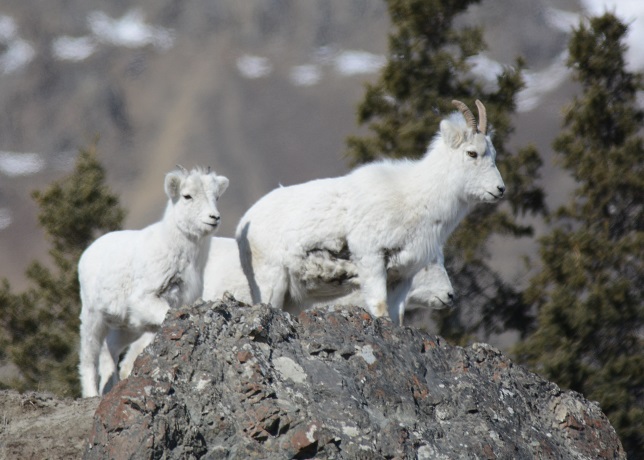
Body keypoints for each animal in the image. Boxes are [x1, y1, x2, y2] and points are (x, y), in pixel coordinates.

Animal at [78, 166, 229, 397]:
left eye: (217, 197)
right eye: (187, 196)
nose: (214, 217)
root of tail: (88, 252)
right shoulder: (147, 299)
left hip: (127, 327)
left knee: (109, 351)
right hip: (93, 316)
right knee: (89, 355)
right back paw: (92, 393)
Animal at [236, 100, 504, 321]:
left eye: (493, 154)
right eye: (472, 153)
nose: (500, 189)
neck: (416, 199)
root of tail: (244, 224)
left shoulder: (401, 277)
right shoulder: (372, 259)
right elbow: (380, 308)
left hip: (293, 297)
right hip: (271, 284)